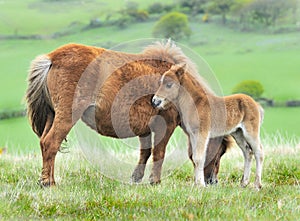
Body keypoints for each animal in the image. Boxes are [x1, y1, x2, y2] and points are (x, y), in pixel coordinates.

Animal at [25, 40, 232, 186]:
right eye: (219, 152)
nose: (213, 181)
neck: (178, 88)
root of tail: (52, 58)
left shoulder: (146, 129)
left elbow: (145, 153)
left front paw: (136, 178)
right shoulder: (166, 125)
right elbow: (159, 153)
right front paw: (155, 181)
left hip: (53, 114)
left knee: (45, 143)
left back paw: (47, 179)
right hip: (67, 115)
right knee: (51, 143)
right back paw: (49, 183)